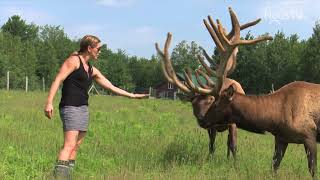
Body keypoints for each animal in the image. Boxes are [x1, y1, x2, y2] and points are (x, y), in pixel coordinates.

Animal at [155, 7, 270, 158]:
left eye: (210, 100)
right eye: (193, 103)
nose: (201, 118)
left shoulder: (232, 123)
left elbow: (233, 145)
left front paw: (234, 162)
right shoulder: (212, 126)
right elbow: (212, 144)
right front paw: (210, 158)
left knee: (229, 142)